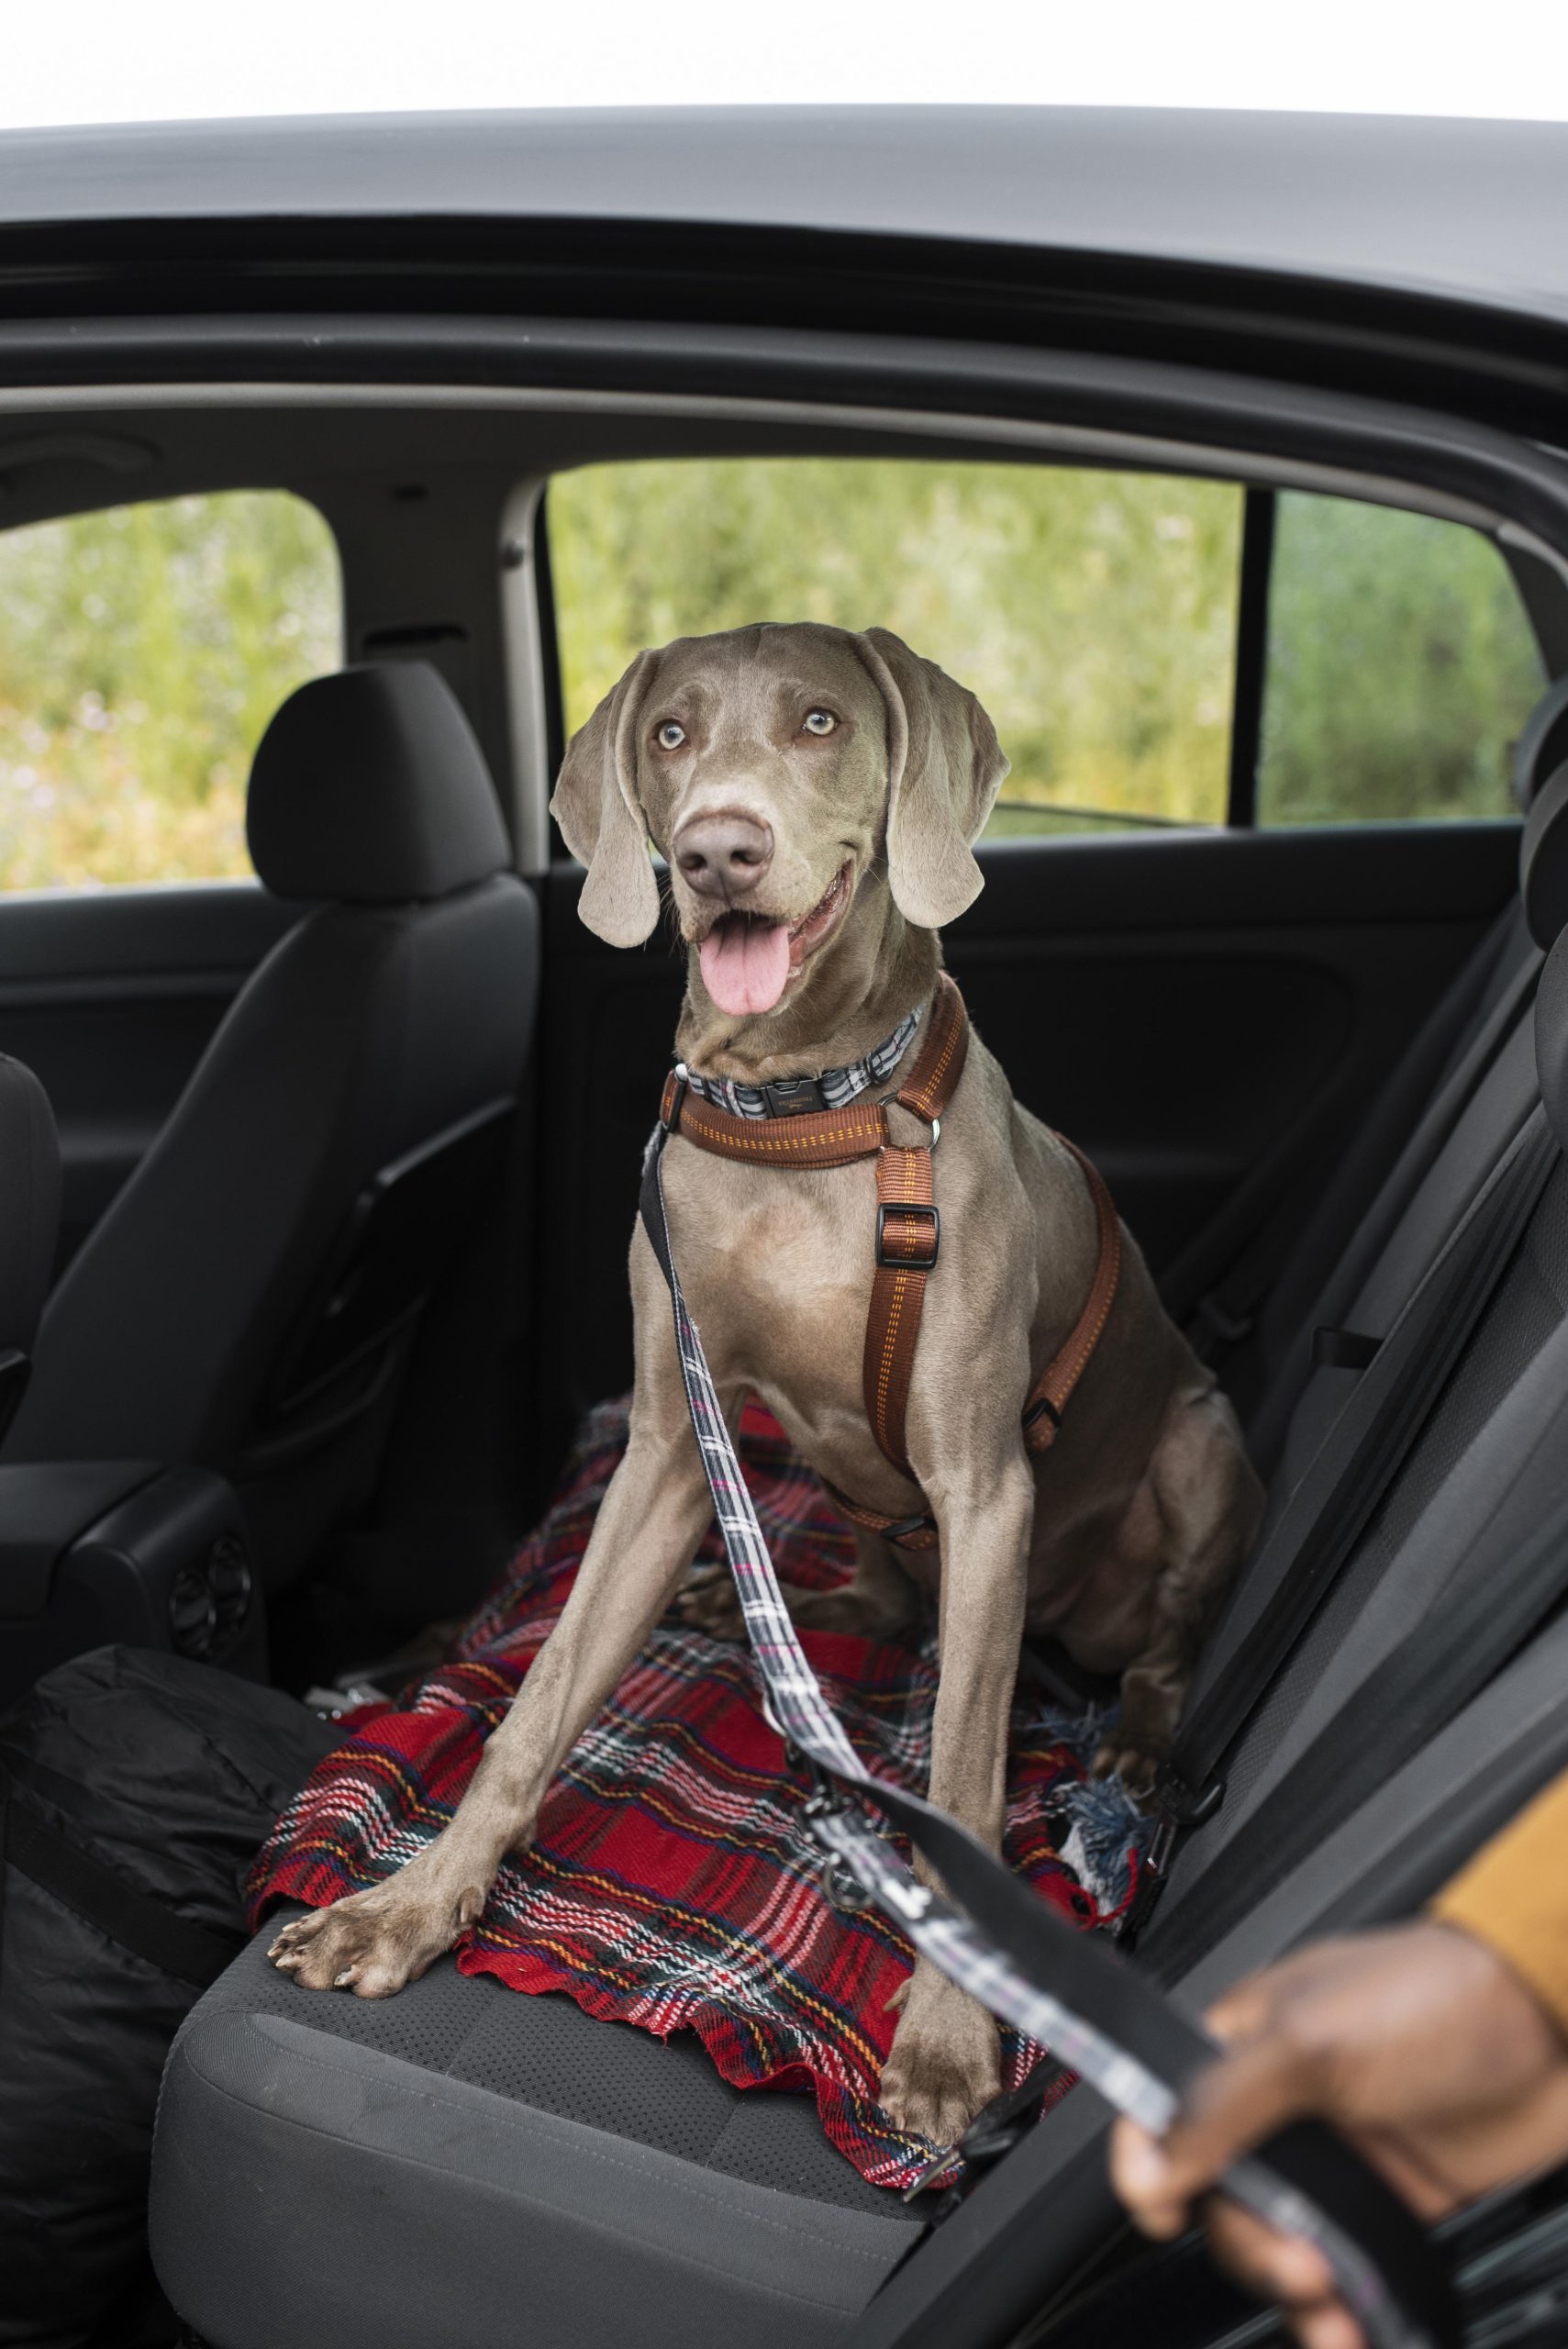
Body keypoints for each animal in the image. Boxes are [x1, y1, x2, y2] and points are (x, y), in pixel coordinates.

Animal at [272, 619, 1258, 2151]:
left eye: (817, 722)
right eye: (670, 734)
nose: (717, 852)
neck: (804, 1111)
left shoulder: (985, 1488)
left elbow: (965, 1783)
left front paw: (948, 2039)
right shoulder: (668, 1445)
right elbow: (533, 1711)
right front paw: (410, 1907)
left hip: (1198, 1458)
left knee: (1149, 1644)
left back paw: (1139, 1746)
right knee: (883, 1592)